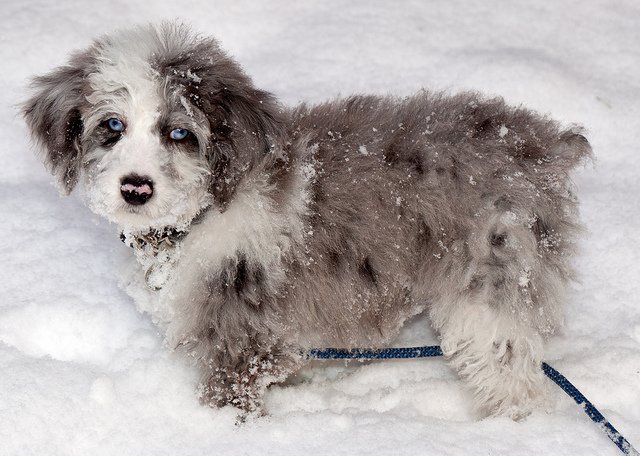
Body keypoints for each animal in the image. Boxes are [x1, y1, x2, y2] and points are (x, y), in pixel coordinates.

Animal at [22, 23, 592, 418]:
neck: (202, 212)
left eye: (179, 133)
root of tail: (543, 145)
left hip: (493, 280)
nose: (136, 188)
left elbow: (233, 391)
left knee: (510, 369)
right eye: (112, 126)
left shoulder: (241, 331)